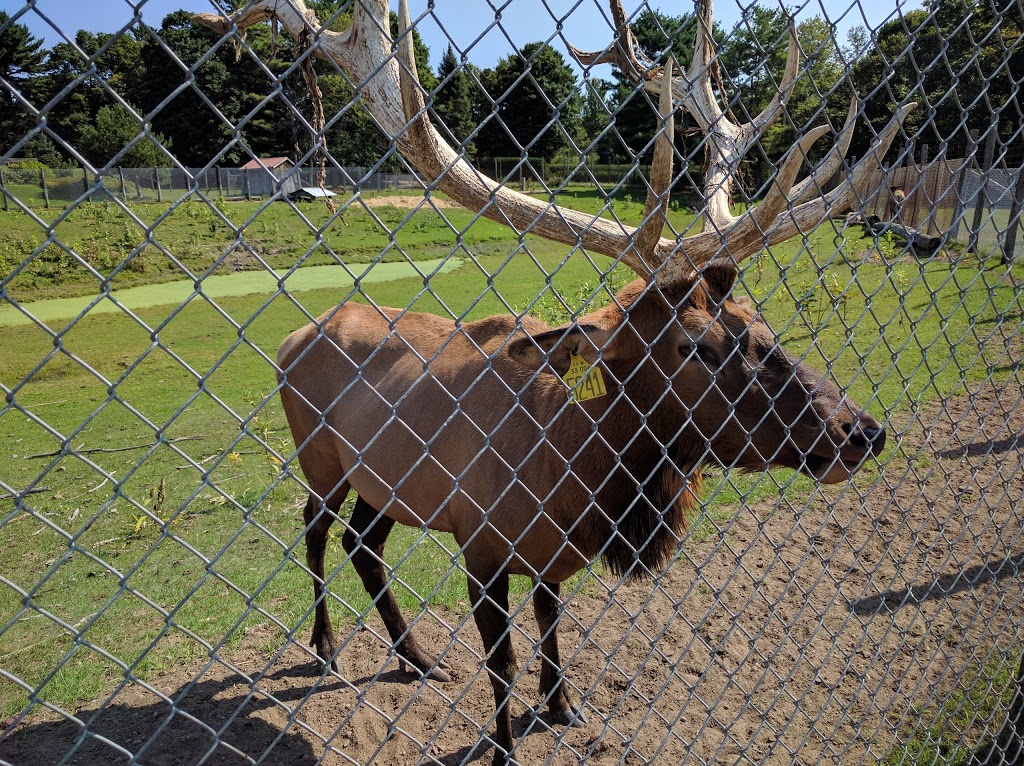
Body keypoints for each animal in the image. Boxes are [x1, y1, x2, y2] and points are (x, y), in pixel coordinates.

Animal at [199, 2, 913, 761]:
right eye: (695, 346)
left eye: (762, 325)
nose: (861, 429)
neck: (568, 481)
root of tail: (292, 337)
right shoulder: (479, 542)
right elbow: (503, 662)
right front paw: (506, 744)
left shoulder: (545, 556)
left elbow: (551, 619)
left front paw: (564, 702)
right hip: (320, 457)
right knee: (312, 529)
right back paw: (327, 645)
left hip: (386, 479)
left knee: (363, 544)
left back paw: (417, 657)